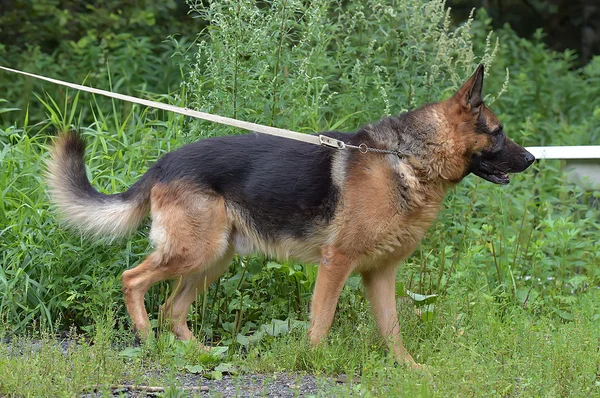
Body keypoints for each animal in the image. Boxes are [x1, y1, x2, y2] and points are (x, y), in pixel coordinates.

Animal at [47, 65, 536, 366]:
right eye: (498, 133)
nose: (533, 159)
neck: (405, 159)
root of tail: (163, 164)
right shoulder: (336, 265)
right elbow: (321, 322)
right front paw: (314, 361)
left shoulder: (380, 275)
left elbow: (392, 329)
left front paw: (410, 369)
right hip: (192, 252)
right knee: (133, 280)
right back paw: (147, 341)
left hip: (214, 260)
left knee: (172, 307)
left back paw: (201, 354)